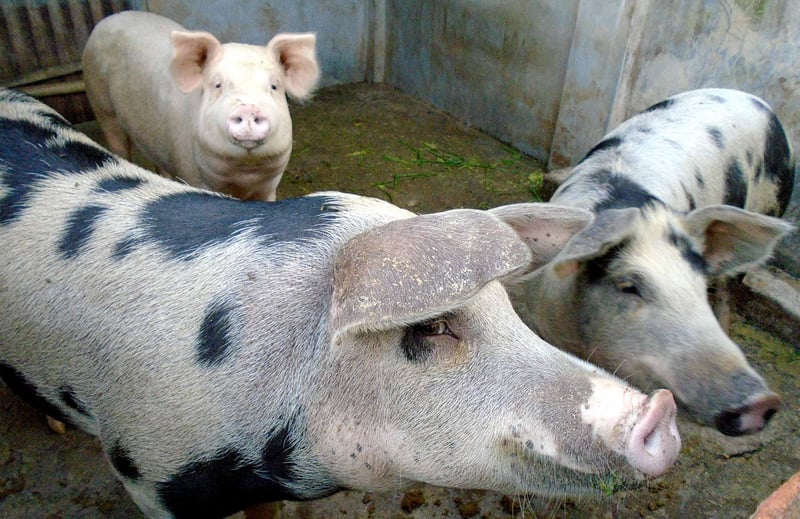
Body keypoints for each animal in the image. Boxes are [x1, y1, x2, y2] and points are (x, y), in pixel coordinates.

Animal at [82, 10, 320, 201]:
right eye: (217, 85)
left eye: (274, 86)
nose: (248, 108)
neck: (242, 176)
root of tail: (106, 20)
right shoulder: (189, 170)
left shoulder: (268, 187)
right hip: (101, 103)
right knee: (118, 143)